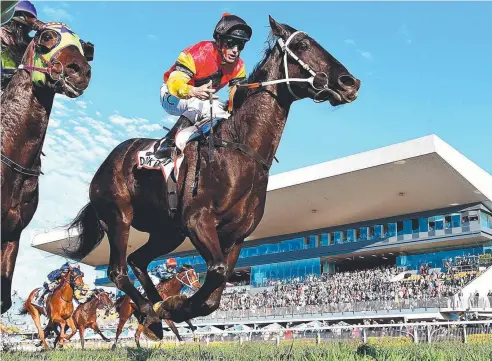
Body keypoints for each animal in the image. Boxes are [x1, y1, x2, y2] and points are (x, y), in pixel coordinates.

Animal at [67, 16, 360, 338]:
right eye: (304, 45)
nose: (350, 82)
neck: (241, 151)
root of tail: (107, 162)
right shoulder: (198, 219)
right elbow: (216, 272)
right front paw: (178, 306)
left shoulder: (236, 235)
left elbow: (215, 294)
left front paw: (175, 305)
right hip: (119, 217)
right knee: (117, 270)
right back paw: (150, 311)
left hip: (167, 232)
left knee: (137, 260)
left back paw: (157, 309)